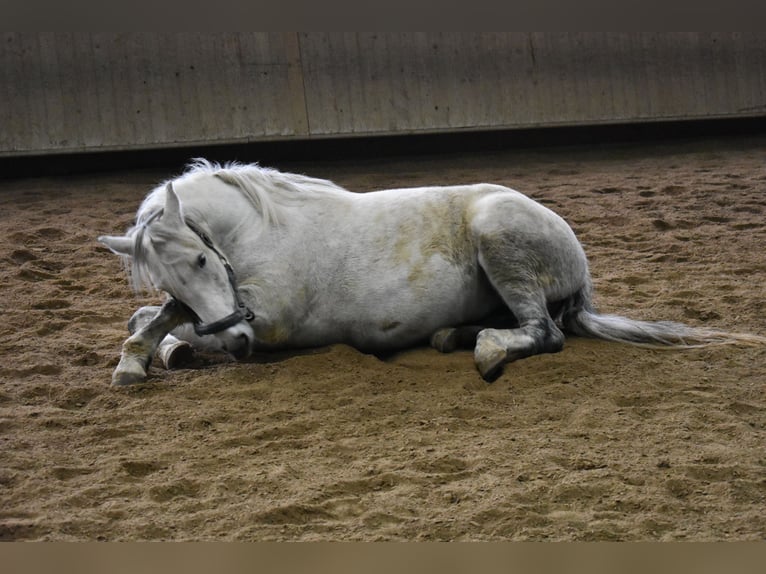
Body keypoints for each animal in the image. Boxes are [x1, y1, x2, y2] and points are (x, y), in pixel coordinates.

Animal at [98, 159, 765, 386]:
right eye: (172, 276)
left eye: (203, 259)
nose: (236, 345)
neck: (264, 232)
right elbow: (156, 316)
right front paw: (148, 356)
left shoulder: (269, 325)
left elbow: (165, 323)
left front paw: (142, 358)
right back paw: (453, 336)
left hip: (501, 240)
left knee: (544, 333)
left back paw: (487, 350)